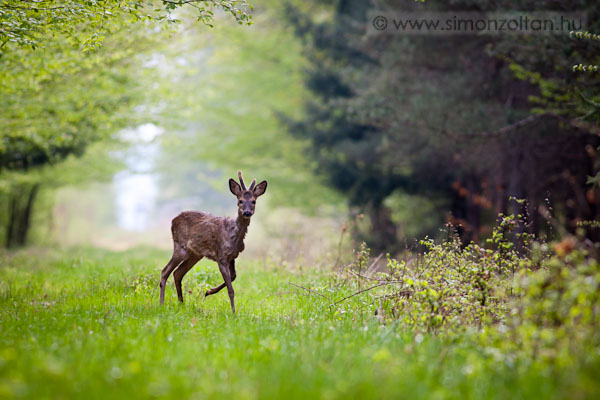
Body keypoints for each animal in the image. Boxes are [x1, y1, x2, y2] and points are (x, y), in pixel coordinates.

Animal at [158, 170, 266, 314]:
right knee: (165, 271)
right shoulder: (221, 257)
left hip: (195, 254)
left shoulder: (232, 256)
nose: (247, 212)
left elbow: (234, 276)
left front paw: (209, 291)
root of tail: (173, 220)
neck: (233, 235)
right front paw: (233, 313)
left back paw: (181, 304)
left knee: (177, 273)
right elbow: (231, 289)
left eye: (254, 201)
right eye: (240, 200)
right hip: (181, 247)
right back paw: (161, 304)